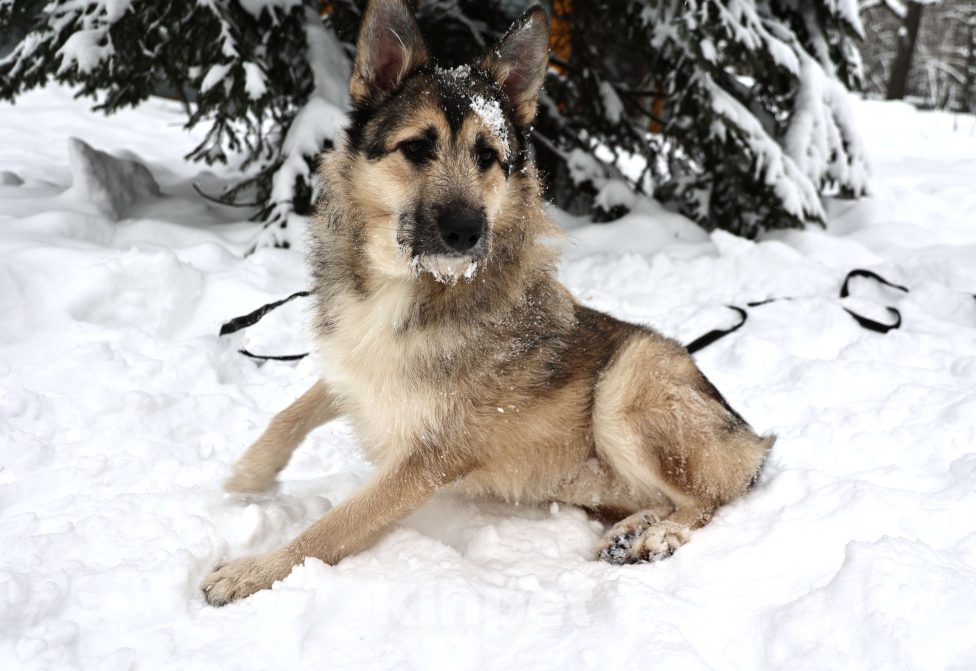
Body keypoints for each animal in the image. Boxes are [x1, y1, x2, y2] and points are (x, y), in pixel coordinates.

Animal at [202, 0, 774, 606]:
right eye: (416, 147)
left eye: (487, 156)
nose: (465, 231)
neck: (409, 287)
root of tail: (751, 440)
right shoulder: (357, 370)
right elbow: (294, 410)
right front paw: (250, 474)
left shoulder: (429, 459)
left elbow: (334, 525)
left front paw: (254, 571)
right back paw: (632, 528)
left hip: (626, 386)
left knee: (708, 500)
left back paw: (658, 536)